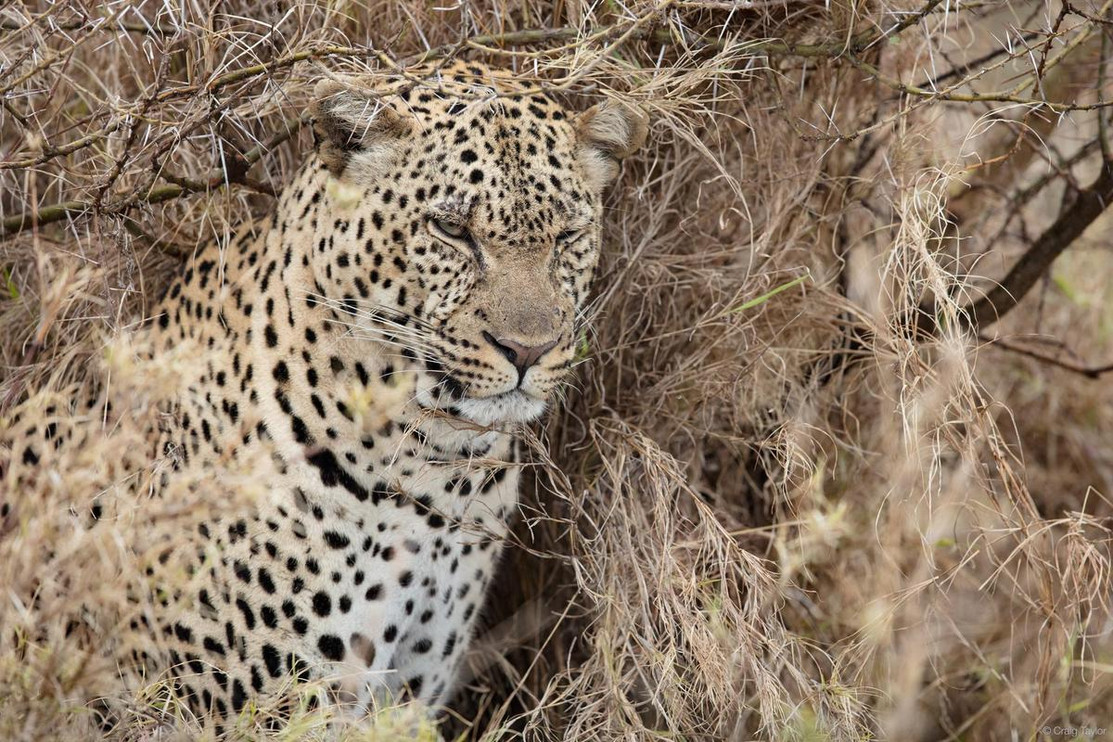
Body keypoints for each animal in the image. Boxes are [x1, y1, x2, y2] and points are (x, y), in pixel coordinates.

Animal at [0, 60, 645, 725]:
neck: (436, 471)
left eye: (568, 235)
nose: (527, 350)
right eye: (451, 229)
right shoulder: (256, 706)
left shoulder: (408, 692)